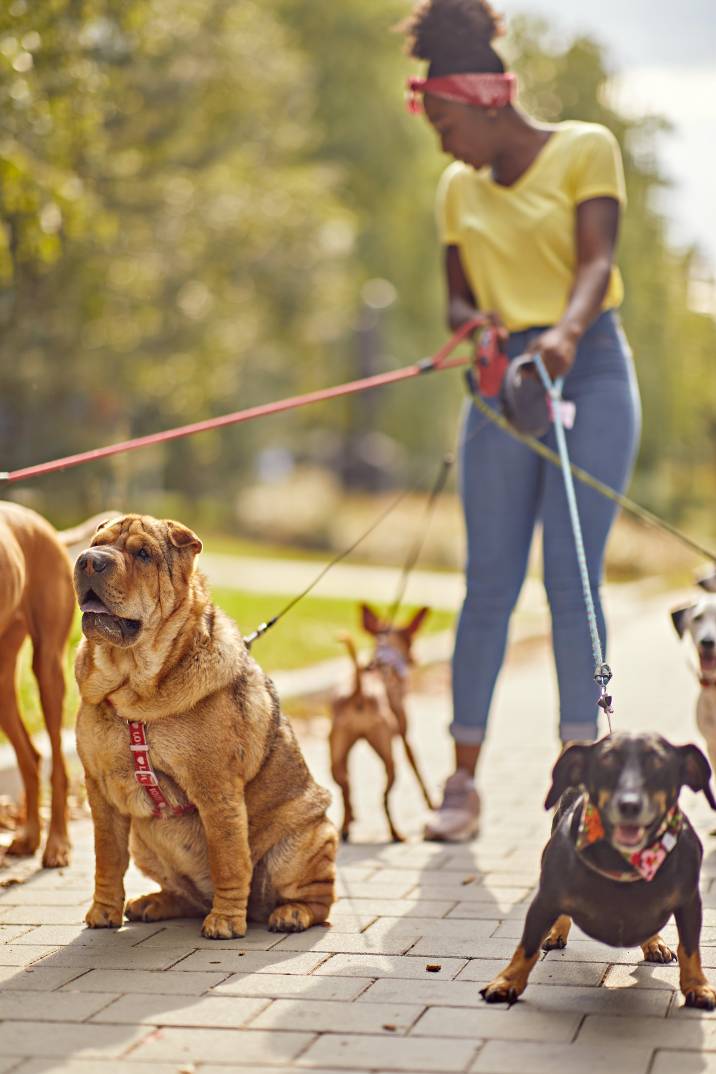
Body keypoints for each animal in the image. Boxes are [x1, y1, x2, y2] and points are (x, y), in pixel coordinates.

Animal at [0, 500, 110, 863]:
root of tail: (47, 529)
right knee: (31, 758)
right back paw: (30, 836)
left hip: (48, 668)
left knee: (58, 767)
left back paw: (56, 843)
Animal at [74, 515, 337, 936]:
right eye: (96, 544)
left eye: (143, 554)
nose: (88, 561)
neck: (135, 690)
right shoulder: (100, 789)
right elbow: (107, 857)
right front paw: (103, 911)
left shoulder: (215, 788)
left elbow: (228, 858)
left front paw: (226, 921)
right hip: (144, 843)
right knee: (187, 896)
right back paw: (153, 903)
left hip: (303, 843)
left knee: (319, 899)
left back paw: (290, 914)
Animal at [328, 605, 431, 837]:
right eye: (412, 641)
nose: (417, 658)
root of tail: (359, 690)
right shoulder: (405, 737)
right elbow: (418, 771)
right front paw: (433, 804)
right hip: (389, 759)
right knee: (384, 798)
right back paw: (396, 834)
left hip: (336, 758)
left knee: (345, 788)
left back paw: (346, 826)